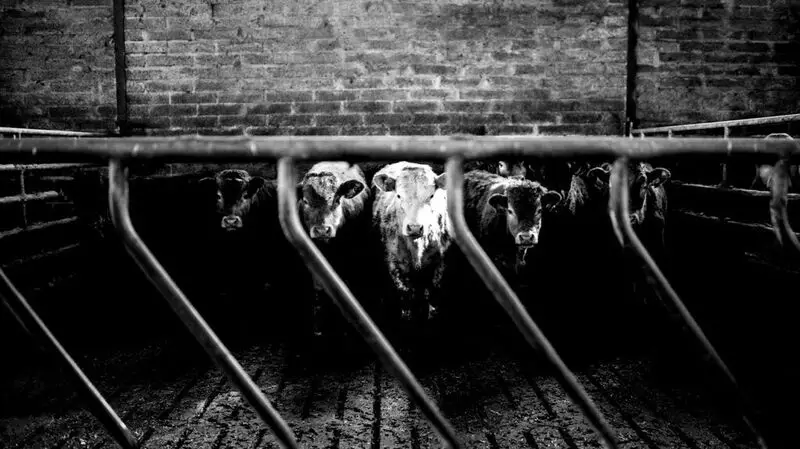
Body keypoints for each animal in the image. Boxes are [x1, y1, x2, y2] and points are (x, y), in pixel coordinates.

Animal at [368, 161, 450, 326]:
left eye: (431, 196)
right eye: (399, 195)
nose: (415, 227)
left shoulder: (439, 263)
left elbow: (433, 293)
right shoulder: (395, 264)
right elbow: (406, 295)